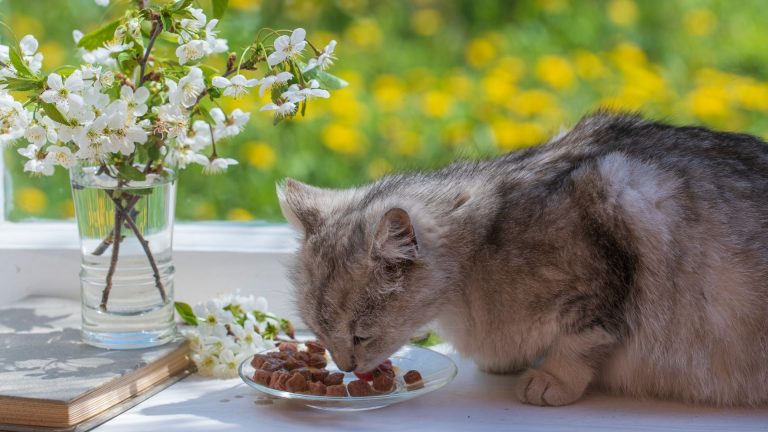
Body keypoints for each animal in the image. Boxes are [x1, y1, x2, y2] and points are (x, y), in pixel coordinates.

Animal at [276, 112, 768, 408]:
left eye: (360, 335)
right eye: (318, 330)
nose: (344, 367)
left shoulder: (607, 251)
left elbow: (580, 339)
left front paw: (552, 379)